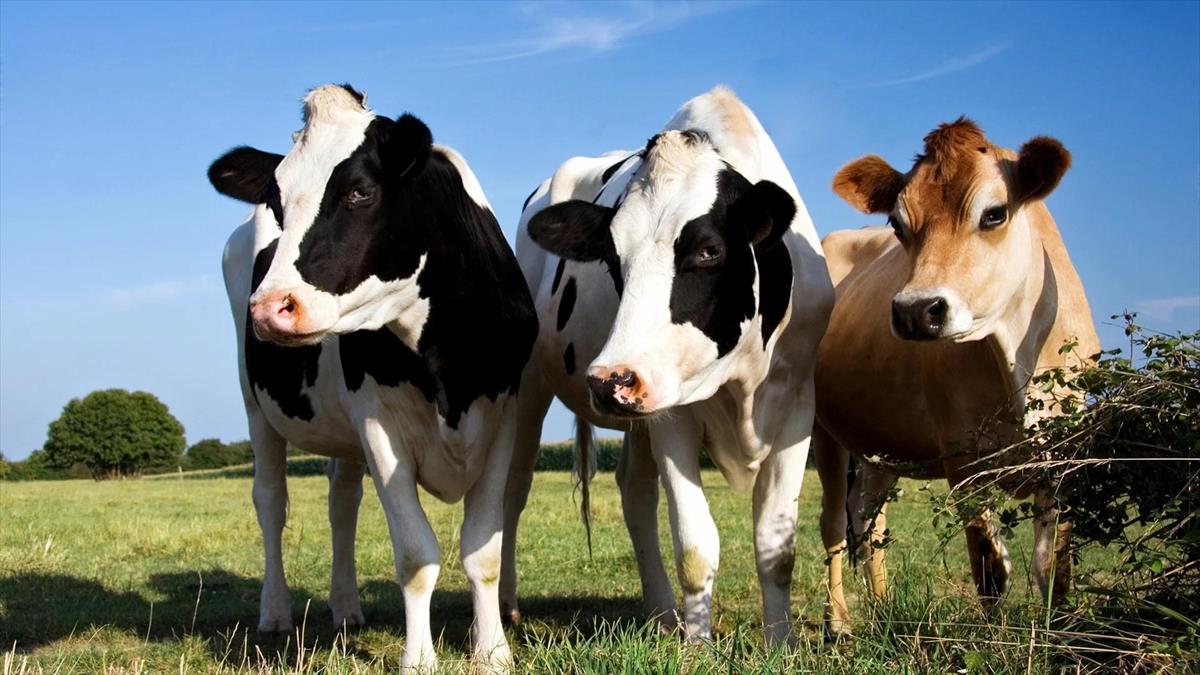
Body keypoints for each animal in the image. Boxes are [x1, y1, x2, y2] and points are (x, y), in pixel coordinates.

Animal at [208, 84, 536, 672]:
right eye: (277, 202)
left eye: (360, 192)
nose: (269, 309)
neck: (445, 362)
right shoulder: (380, 425)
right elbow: (416, 554)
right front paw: (419, 659)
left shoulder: (502, 416)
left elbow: (483, 550)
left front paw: (493, 651)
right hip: (255, 403)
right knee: (270, 502)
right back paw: (275, 612)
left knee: (342, 504)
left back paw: (346, 608)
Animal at [499, 86, 835, 645]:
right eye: (611, 258)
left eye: (709, 250)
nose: (609, 380)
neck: (740, 378)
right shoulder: (673, 414)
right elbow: (696, 546)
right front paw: (699, 648)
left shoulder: (797, 406)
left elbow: (777, 547)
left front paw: (781, 643)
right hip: (529, 386)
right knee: (513, 489)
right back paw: (507, 605)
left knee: (634, 494)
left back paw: (660, 613)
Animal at [813, 118, 1099, 635]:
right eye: (897, 223)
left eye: (994, 214)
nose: (914, 310)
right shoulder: (962, 458)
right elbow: (990, 567)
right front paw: (992, 639)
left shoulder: (1067, 454)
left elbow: (1054, 565)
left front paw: (1060, 632)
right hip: (822, 431)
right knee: (833, 527)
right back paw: (838, 621)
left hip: (880, 446)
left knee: (869, 521)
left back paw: (883, 609)